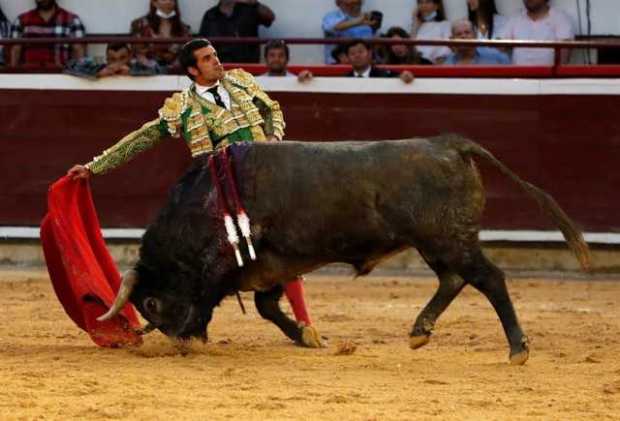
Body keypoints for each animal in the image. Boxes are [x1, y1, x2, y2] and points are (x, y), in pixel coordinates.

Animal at [99, 135, 588, 364]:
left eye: (151, 302)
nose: (182, 343)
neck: (204, 204)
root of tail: (447, 142)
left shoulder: (256, 258)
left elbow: (264, 305)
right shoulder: (270, 263)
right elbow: (267, 305)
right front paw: (307, 336)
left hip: (449, 238)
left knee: (489, 279)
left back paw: (518, 349)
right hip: (437, 242)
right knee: (453, 279)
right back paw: (419, 331)